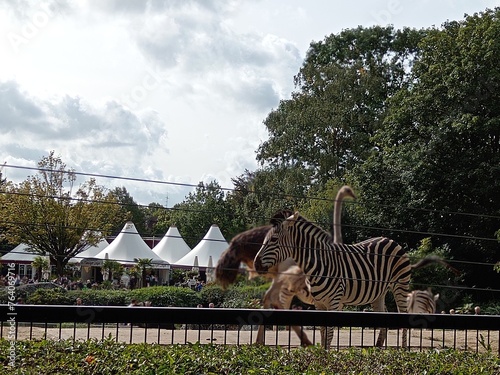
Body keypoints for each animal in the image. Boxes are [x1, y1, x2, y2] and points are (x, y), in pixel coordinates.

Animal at [254, 212, 446, 350]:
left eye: (273, 240)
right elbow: (322, 330)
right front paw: (321, 353)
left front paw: (326, 355)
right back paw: (377, 349)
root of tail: (390, 239)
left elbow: (330, 332)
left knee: (403, 315)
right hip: (379, 292)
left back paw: (404, 350)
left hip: (400, 284)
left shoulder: (334, 301)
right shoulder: (319, 303)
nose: (255, 264)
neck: (318, 263)